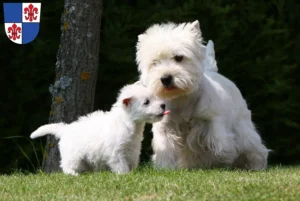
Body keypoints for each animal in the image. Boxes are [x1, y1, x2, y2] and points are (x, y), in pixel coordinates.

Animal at [31, 82, 171, 175]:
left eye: (155, 97)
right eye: (146, 102)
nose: (163, 105)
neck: (127, 123)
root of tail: (65, 129)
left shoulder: (133, 150)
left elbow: (132, 163)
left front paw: (133, 173)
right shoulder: (116, 153)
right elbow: (121, 166)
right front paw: (125, 175)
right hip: (73, 155)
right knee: (67, 165)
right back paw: (74, 174)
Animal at [136, 20, 270, 170]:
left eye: (179, 57)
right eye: (154, 63)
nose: (165, 78)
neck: (182, 99)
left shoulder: (213, 120)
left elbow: (221, 144)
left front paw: (223, 158)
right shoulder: (166, 126)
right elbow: (166, 147)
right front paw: (166, 168)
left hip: (243, 126)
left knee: (253, 146)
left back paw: (256, 165)